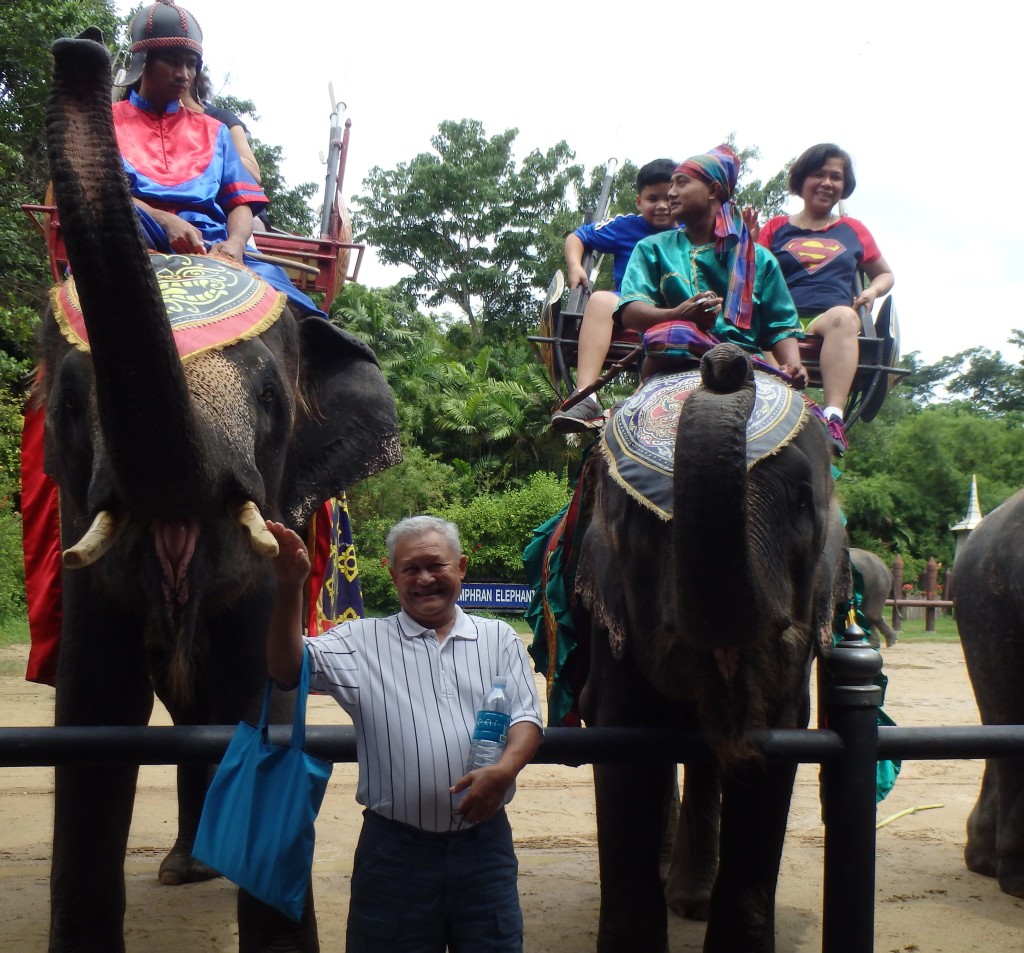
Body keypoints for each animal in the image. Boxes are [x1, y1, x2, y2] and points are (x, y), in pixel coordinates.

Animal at [40, 31, 399, 953]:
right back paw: (185, 866)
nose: (78, 46)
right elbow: (93, 710)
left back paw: (198, 865)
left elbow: (253, 690)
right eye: (67, 406)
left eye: (272, 402)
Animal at [577, 343, 847, 953]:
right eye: (638, 526)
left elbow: (778, 744)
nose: (724, 360)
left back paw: (691, 899)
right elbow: (623, 741)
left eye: (802, 503)